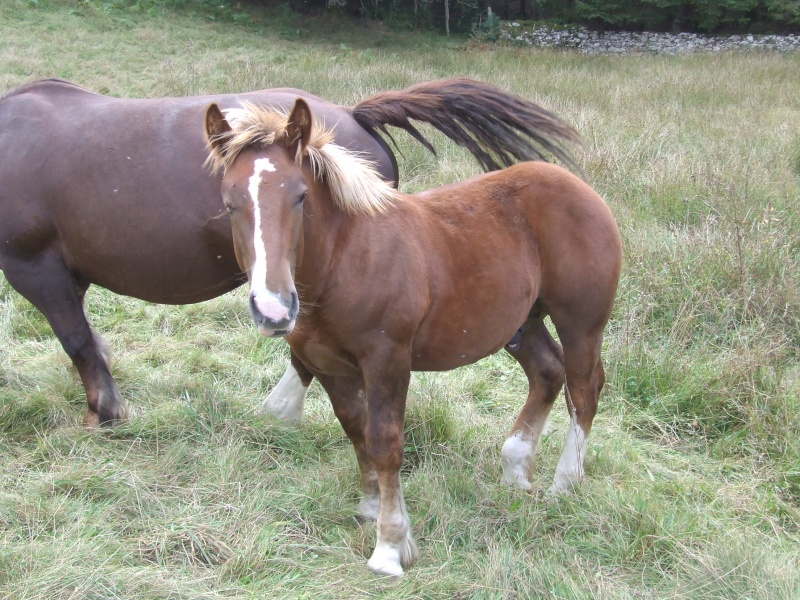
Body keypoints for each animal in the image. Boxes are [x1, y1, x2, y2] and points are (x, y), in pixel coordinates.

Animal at [205, 99, 620, 576]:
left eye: (301, 195)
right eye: (230, 203)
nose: (273, 308)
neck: (344, 258)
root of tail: (580, 187)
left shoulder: (387, 359)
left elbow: (386, 443)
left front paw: (389, 546)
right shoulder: (329, 366)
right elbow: (357, 431)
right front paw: (371, 509)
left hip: (581, 322)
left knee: (585, 389)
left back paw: (565, 483)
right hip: (523, 322)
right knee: (548, 372)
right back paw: (515, 468)